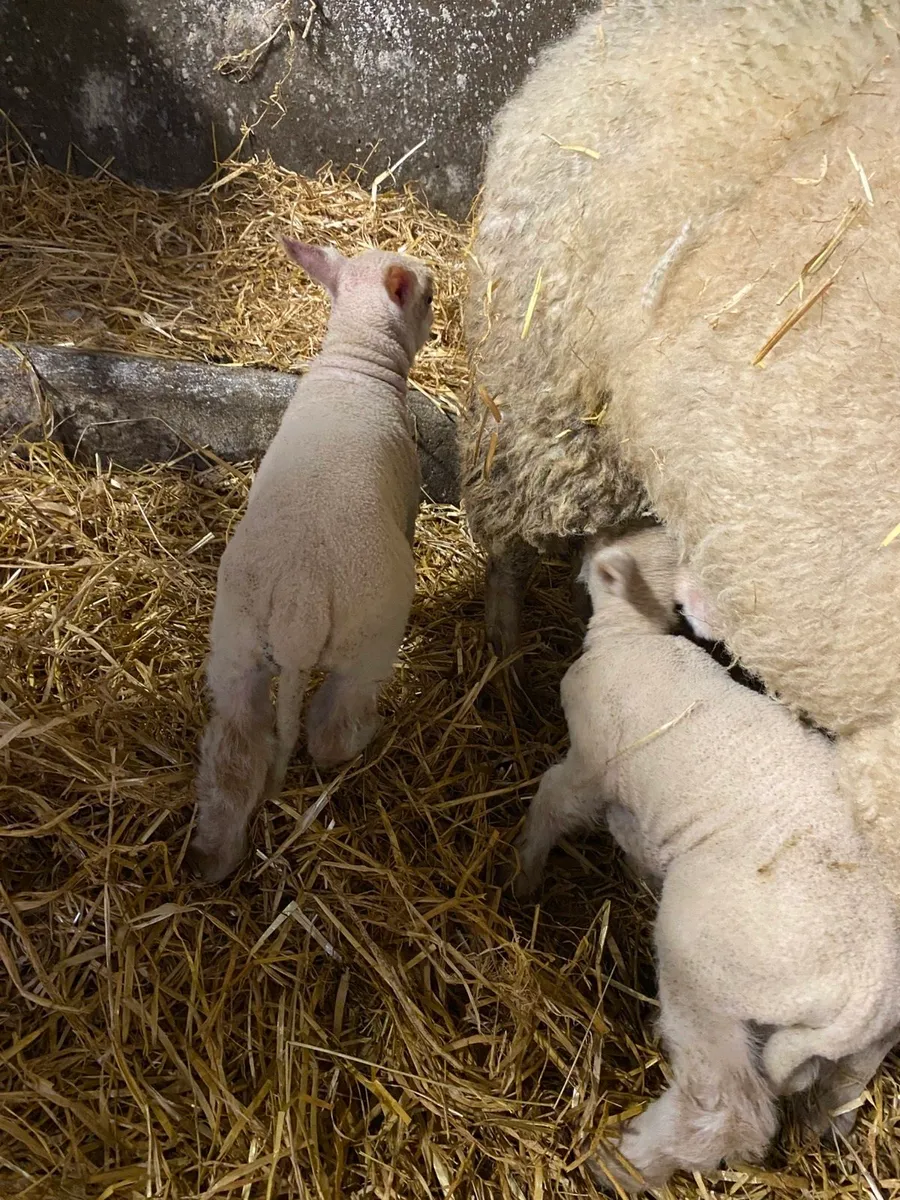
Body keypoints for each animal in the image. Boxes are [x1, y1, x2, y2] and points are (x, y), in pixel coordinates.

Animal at [188, 241, 434, 883]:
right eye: (427, 297)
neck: (354, 363)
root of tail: (300, 603)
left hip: (237, 643)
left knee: (235, 749)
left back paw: (213, 856)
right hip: (368, 640)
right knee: (332, 730)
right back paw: (364, 737)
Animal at [513, 527, 900, 1190]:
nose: (578, 546)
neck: (632, 636)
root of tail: (865, 991)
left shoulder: (590, 764)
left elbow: (551, 804)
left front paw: (520, 871)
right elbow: (634, 841)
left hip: (705, 964)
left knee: (730, 1109)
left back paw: (623, 1163)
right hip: (865, 1044)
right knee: (838, 1094)